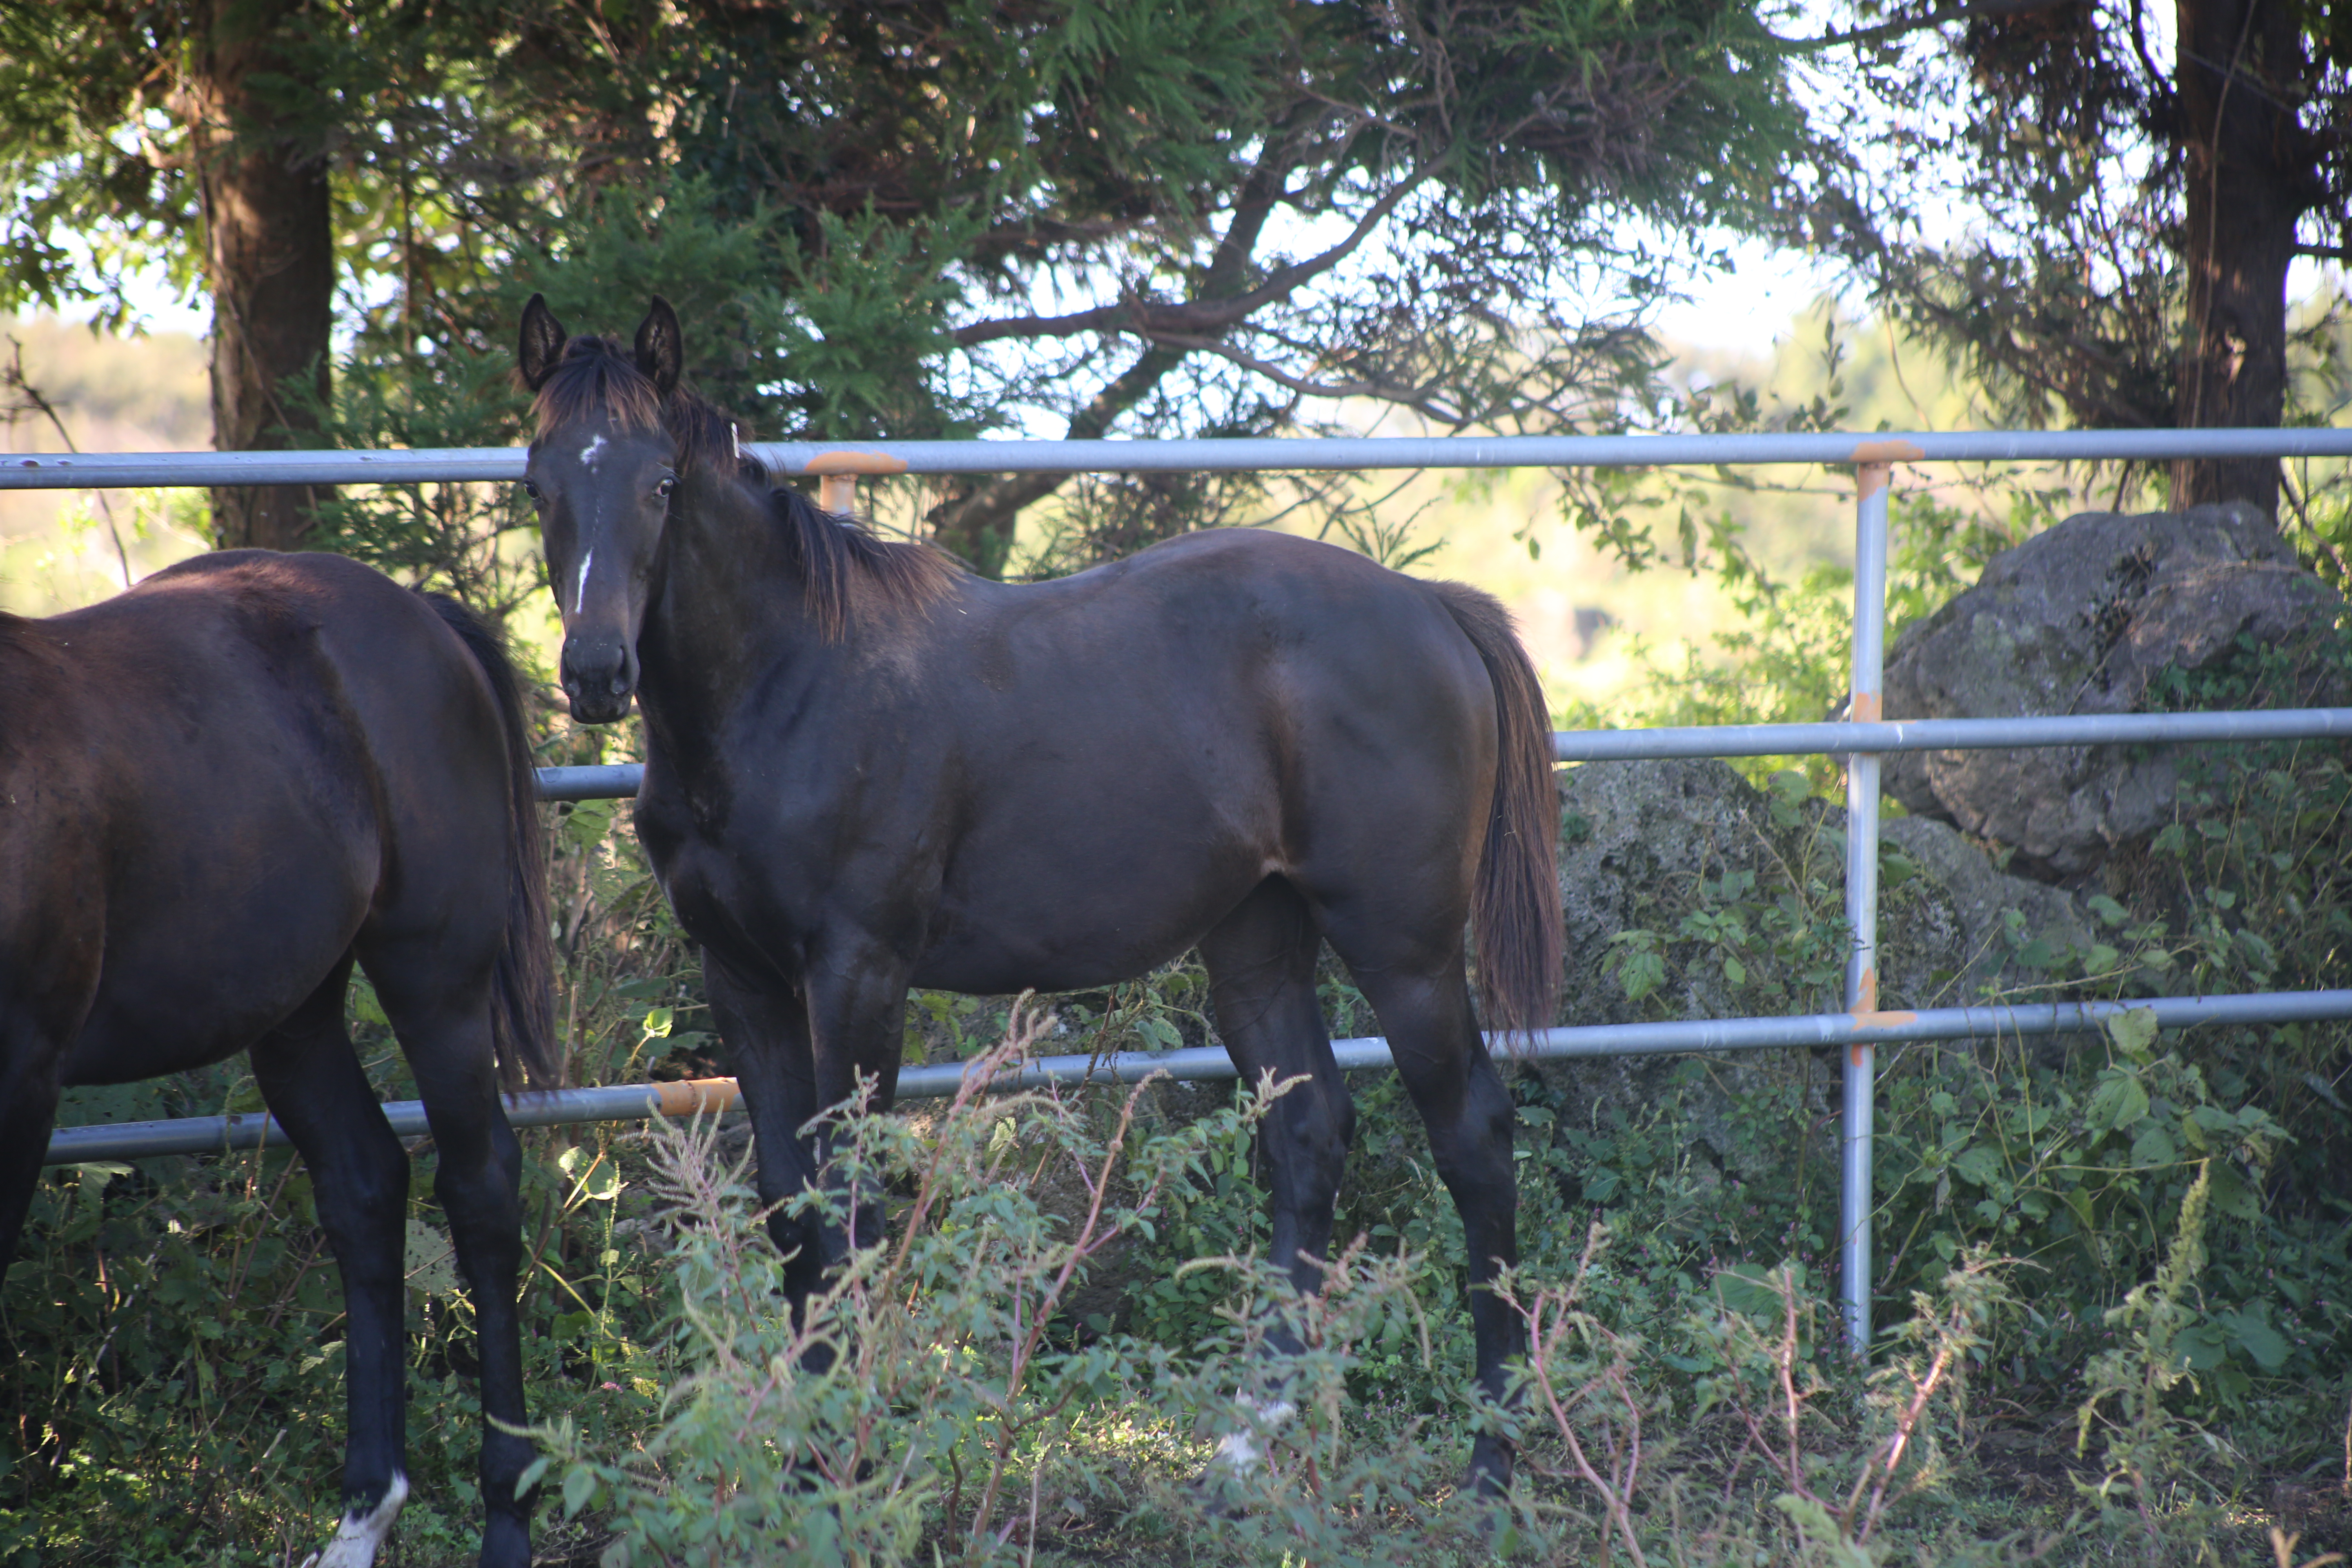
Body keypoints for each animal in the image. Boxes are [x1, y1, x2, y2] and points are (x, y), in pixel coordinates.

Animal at [0, 555, 555, 1568]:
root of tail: (421, 615)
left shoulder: (24, 1083)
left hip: (436, 981)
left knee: (481, 1188)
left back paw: (506, 1521)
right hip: (297, 1015)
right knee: (365, 1185)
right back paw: (361, 1519)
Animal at [515, 297, 1561, 1495]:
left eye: (660, 483)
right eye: (537, 481)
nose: (596, 671)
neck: (788, 687)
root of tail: (1432, 607)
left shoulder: (857, 973)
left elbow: (850, 1203)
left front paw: (846, 1464)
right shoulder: (739, 977)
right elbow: (791, 1204)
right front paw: (806, 1463)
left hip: (1406, 949)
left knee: (1472, 1137)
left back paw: (1491, 1456)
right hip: (1257, 940)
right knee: (1306, 1133)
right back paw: (1251, 1447)